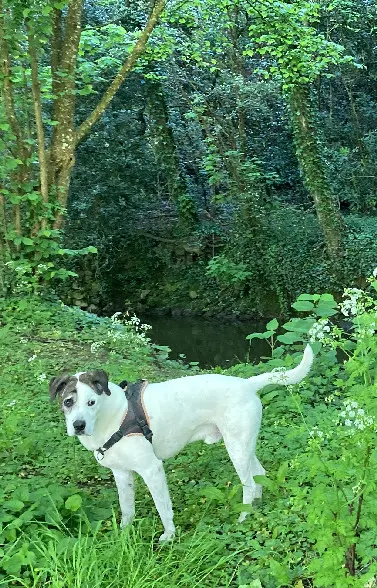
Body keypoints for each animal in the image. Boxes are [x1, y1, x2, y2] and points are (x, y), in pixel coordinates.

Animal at [50, 344, 314, 544]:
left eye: (91, 402)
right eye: (68, 402)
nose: (78, 425)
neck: (115, 415)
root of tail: (247, 384)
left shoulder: (152, 470)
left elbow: (163, 507)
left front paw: (169, 536)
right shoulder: (122, 473)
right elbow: (127, 508)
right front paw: (123, 534)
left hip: (236, 449)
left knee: (248, 483)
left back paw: (243, 518)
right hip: (244, 445)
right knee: (259, 474)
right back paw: (256, 509)